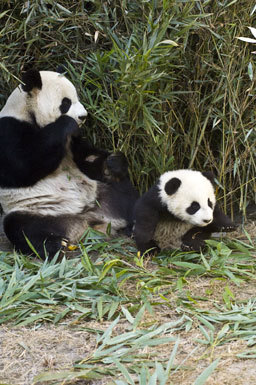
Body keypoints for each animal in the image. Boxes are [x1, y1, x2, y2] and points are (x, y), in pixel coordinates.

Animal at [0, 69, 138, 258]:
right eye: (66, 103)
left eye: (77, 98)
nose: (83, 116)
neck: (28, 113)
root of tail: (87, 222)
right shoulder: (9, 129)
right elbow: (21, 167)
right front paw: (68, 123)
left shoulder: (74, 142)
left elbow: (88, 159)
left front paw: (113, 162)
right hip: (37, 210)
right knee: (20, 227)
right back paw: (56, 244)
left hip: (104, 195)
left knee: (127, 195)